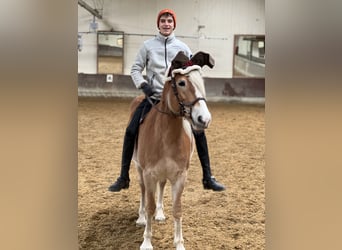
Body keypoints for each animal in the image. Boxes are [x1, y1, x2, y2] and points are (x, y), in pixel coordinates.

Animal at [130, 51, 214, 250]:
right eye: (182, 83)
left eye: (201, 82)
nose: (204, 119)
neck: (166, 136)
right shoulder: (149, 173)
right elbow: (150, 206)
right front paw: (146, 241)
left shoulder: (180, 176)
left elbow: (177, 209)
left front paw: (179, 243)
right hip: (139, 169)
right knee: (143, 191)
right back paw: (141, 218)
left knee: (161, 186)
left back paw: (160, 214)